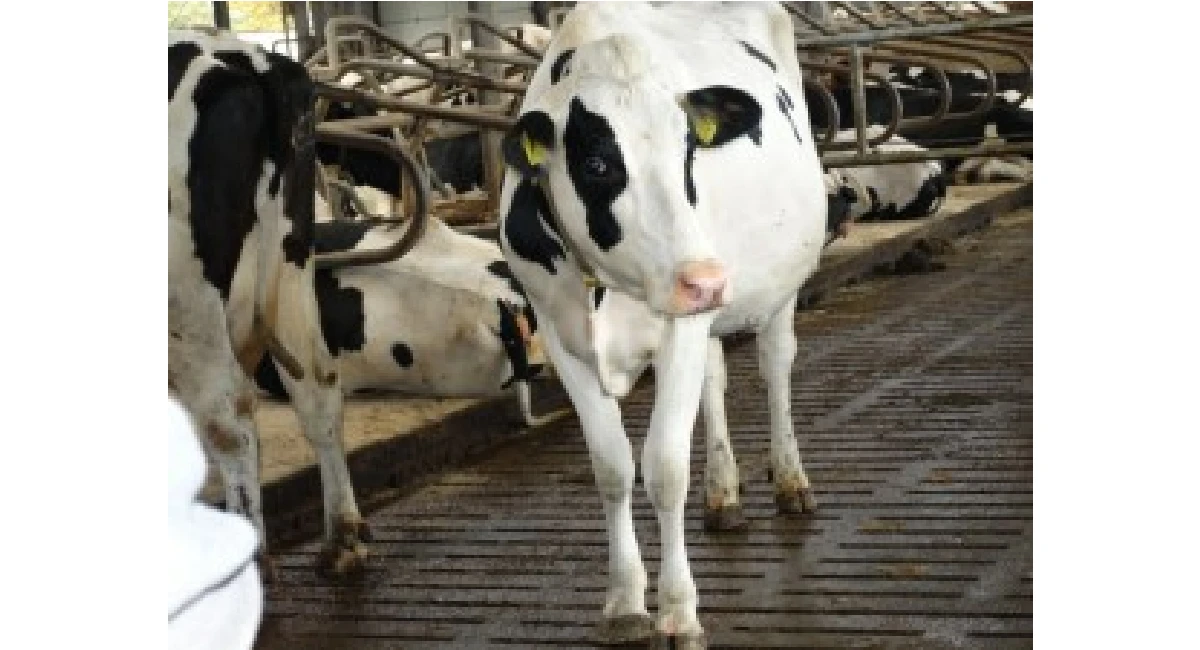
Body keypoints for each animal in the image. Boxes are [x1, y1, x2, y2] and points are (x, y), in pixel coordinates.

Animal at [168, 31, 369, 578]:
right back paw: (343, 539)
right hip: (290, 263)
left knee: (228, 420)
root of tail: (251, 62)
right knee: (318, 386)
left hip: (186, 301)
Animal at [496, 3, 827, 646]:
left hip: (780, 288)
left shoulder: (681, 330)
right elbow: (612, 467)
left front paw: (678, 612)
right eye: (598, 162)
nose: (705, 280)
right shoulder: (557, 332)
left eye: (689, 153)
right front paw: (625, 602)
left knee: (775, 368)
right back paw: (723, 494)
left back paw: (790, 480)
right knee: (715, 380)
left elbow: (666, 469)